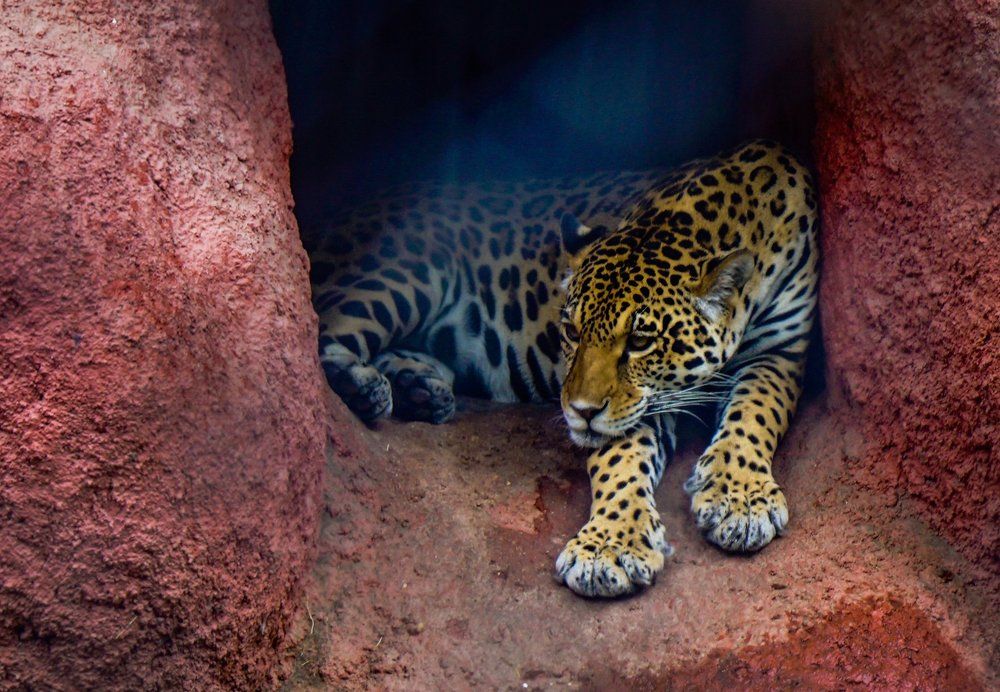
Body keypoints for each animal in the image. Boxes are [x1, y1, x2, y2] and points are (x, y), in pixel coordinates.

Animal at [310, 140, 818, 598]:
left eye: (639, 341)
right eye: (572, 331)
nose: (579, 411)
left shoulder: (780, 352)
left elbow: (755, 412)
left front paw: (740, 498)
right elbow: (619, 458)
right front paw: (610, 546)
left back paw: (419, 389)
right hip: (406, 274)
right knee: (323, 326)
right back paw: (365, 388)